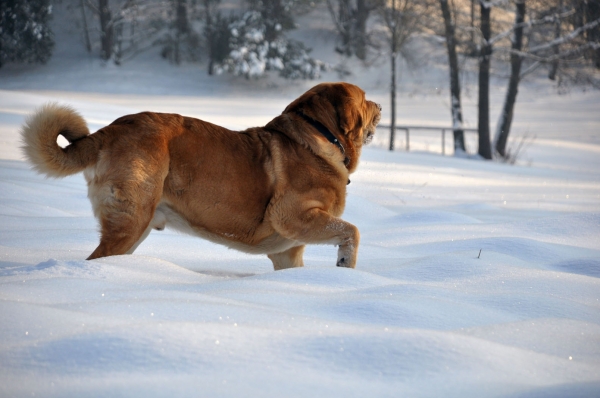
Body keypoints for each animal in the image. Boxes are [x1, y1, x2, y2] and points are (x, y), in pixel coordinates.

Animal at [22, 83, 380, 270]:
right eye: (365, 98)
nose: (379, 105)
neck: (322, 137)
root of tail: (111, 129)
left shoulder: (287, 250)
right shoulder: (292, 216)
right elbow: (352, 231)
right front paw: (345, 266)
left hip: (137, 226)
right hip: (131, 219)